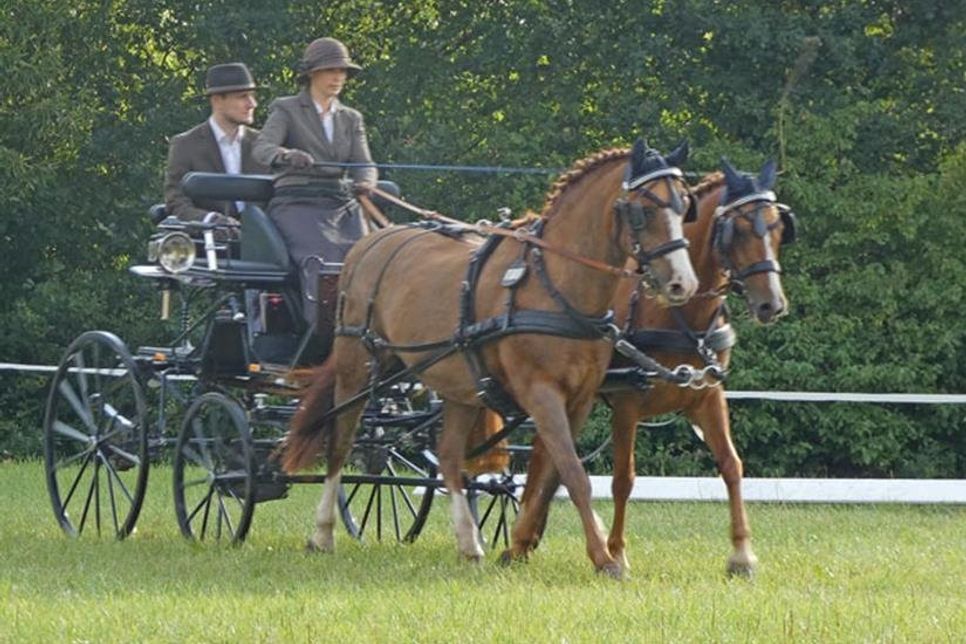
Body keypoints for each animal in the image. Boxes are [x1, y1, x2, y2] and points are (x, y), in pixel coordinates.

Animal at [280, 139, 700, 577]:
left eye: (684, 205)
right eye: (643, 209)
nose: (682, 283)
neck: (556, 286)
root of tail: (367, 245)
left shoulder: (580, 400)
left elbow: (551, 475)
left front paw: (521, 544)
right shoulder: (541, 394)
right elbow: (573, 473)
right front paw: (603, 557)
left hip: (456, 386)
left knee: (449, 458)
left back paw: (469, 543)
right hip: (356, 367)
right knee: (341, 443)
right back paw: (322, 534)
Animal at [505, 158, 796, 577]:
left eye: (777, 227)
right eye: (739, 229)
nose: (772, 304)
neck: (680, 316)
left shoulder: (707, 396)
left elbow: (731, 465)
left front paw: (742, 555)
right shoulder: (627, 404)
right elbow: (623, 480)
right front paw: (617, 553)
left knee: (546, 455)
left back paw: (522, 539)